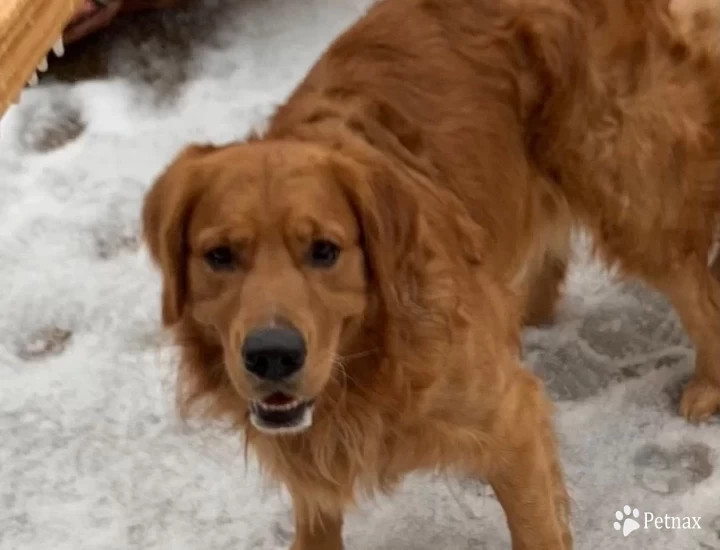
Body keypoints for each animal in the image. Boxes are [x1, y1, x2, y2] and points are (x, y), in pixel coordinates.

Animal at [142, 0, 720, 548]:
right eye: (219, 256)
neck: (368, 361)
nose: (272, 355)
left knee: (700, 295)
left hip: (629, 197)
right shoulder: (306, 453)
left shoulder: (512, 424)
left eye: (324, 251)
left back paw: (707, 387)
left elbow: (535, 526)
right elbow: (316, 516)